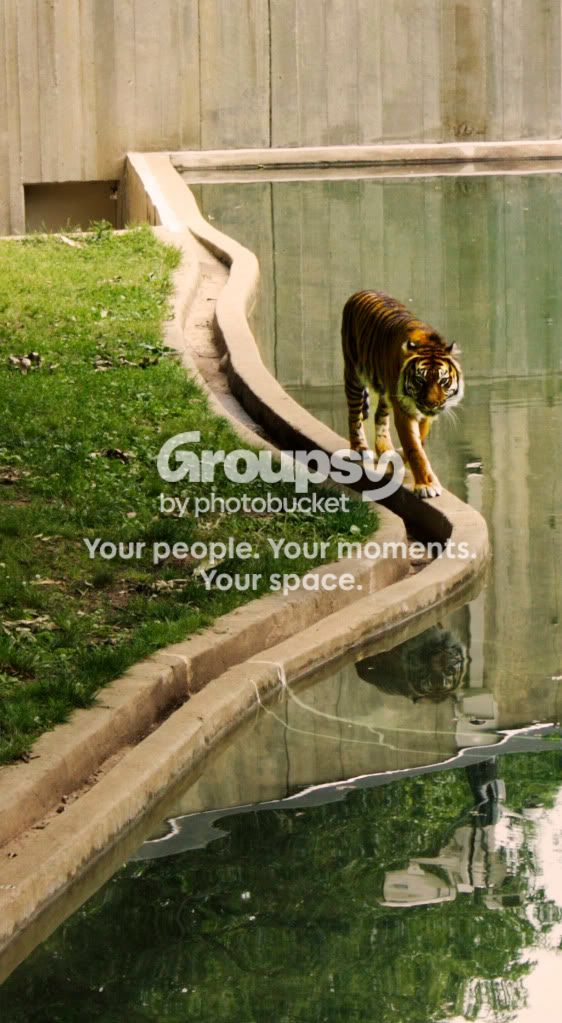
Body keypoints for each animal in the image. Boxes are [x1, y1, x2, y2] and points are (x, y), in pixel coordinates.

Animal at [341, 290, 463, 498]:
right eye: (420, 380)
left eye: (443, 381)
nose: (432, 405)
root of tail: (359, 292)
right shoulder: (404, 411)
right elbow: (415, 448)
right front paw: (426, 485)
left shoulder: (423, 414)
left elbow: (419, 439)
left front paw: (402, 456)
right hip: (353, 374)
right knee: (354, 415)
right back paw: (360, 448)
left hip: (385, 391)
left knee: (379, 416)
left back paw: (386, 449)